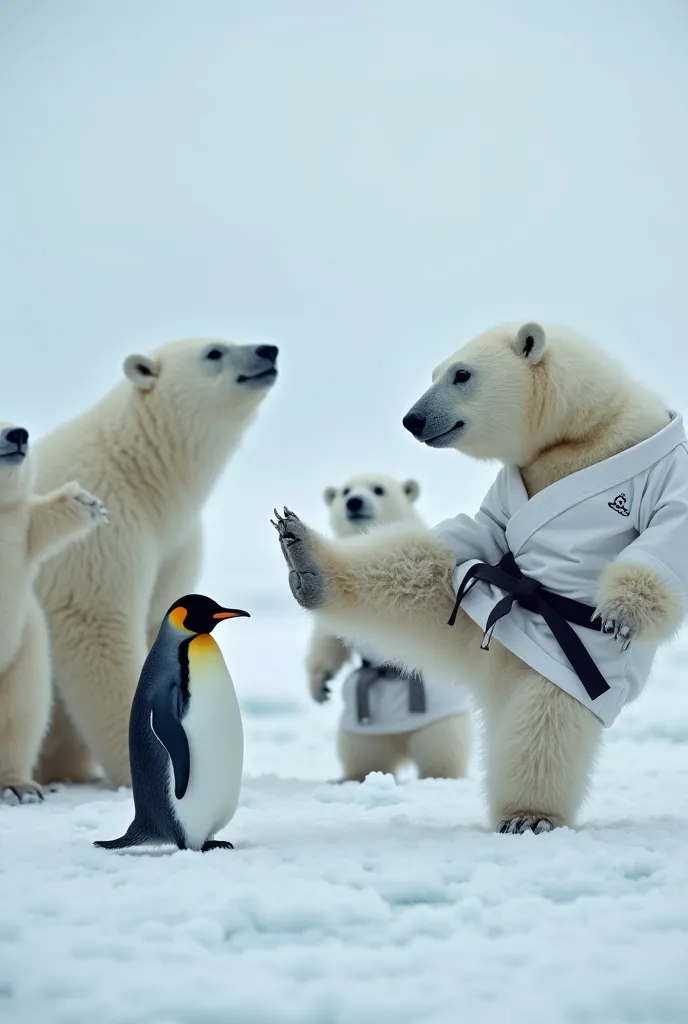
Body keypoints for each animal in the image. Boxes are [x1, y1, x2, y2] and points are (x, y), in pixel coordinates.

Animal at [0, 419, 108, 802]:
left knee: (21, 711)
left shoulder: (18, 528)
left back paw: (18, 787)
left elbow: (41, 521)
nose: (18, 434)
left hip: (24, 652)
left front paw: (88, 503)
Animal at [307, 473, 473, 782]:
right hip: (362, 723)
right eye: (345, 491)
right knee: (362, 752)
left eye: (378, 489)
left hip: (437, 716)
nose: (354, 502)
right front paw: (319, 686)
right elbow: (328, 638)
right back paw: (353, 777)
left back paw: (439, 777)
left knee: (442, 746)